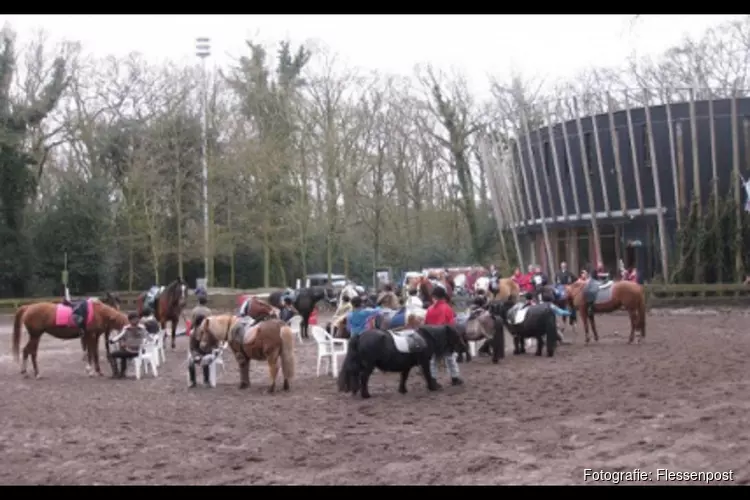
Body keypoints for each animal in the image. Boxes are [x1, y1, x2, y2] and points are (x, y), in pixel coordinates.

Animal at [340, 324, 468, 398]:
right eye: (456, 335)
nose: (464, 347)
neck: (425, 338)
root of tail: (360, 336)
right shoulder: (424, 362)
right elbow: (427, 374)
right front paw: (433, 387)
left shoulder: (407, 365)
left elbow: (404, 377)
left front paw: (402, 390)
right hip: (368, 365)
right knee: (363, 377)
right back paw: (365, 395)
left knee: (355, 375)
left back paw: (355, 391)